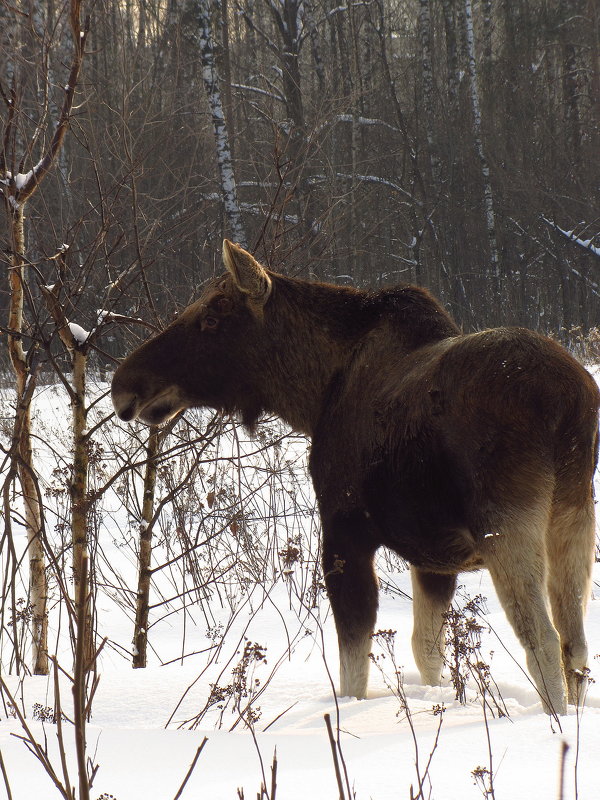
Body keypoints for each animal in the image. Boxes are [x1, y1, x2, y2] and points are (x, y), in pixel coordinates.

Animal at [110, 241, 596, 716]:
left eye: (212, 318)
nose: (123, 385)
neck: (313, 395)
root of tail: (568, 401)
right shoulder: (433, 557)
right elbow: (427, 650)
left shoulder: (345, 531)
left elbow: (353, 669)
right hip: (573, 515)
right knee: (575, 645)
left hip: (506, 523)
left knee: (543, 642)